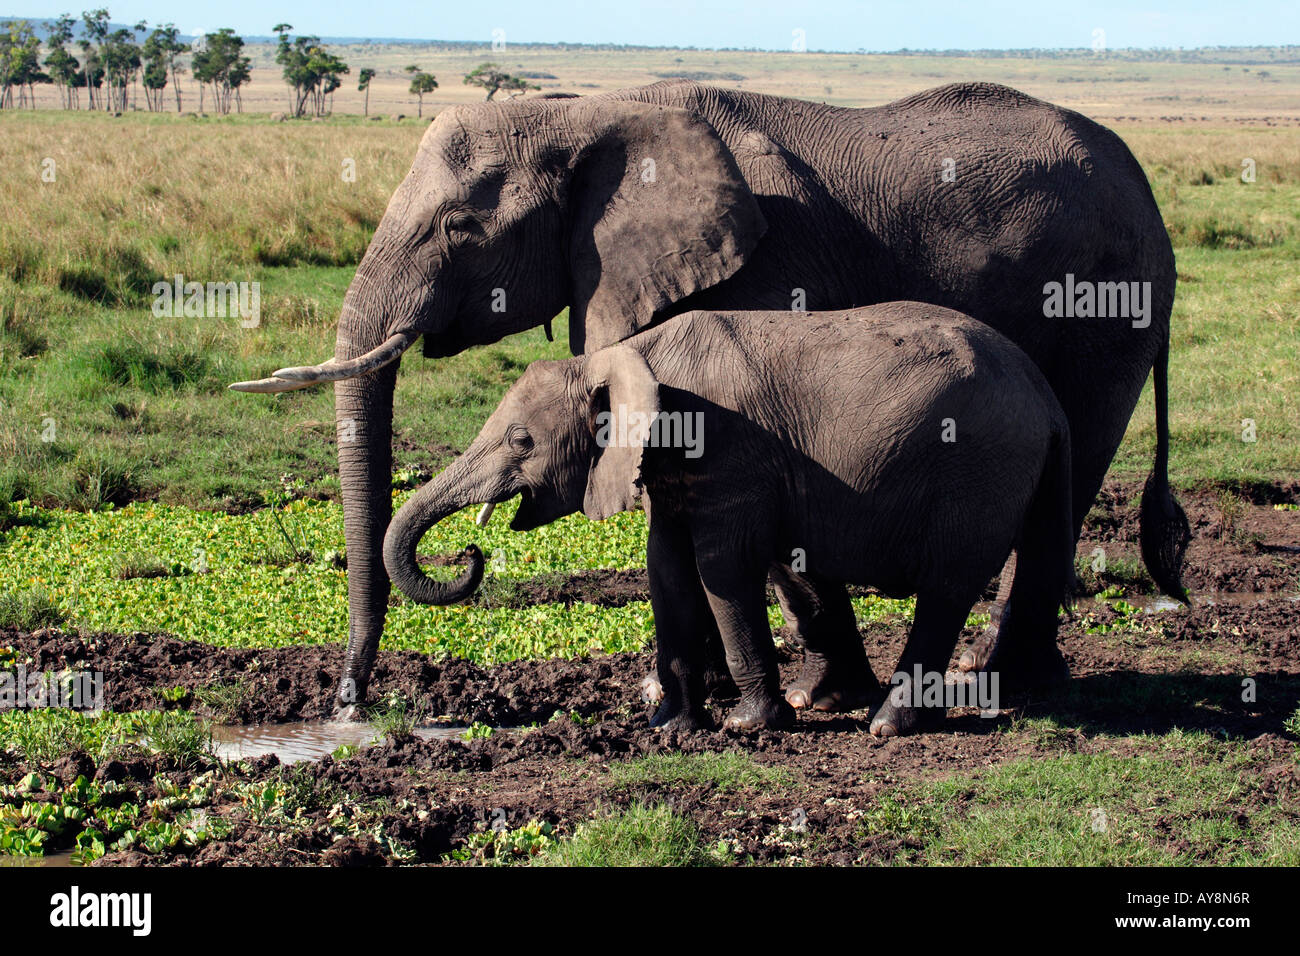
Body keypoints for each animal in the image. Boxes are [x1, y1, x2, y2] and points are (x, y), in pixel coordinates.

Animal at [384, 303, 1076, 738]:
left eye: (521, 440)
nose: (468, 554)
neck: (628, 356)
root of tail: (1046, 397)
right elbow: (665, 569)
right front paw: (671, 729)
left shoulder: (727, 451)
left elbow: (720, 567)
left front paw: (749, 725)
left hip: (980, 470)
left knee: (946, 588)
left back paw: (889, 725)